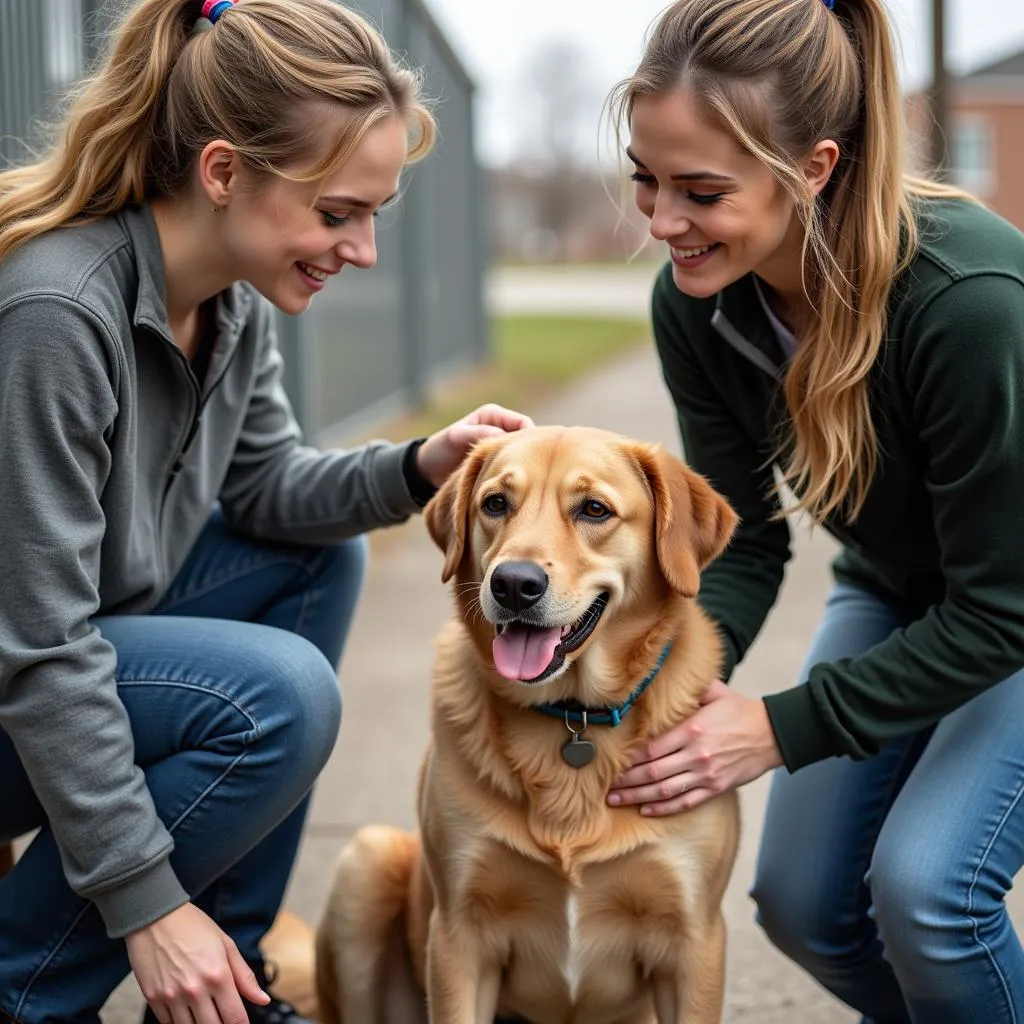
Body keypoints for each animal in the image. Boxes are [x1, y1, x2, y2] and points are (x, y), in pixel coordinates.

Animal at [315, 425, 741, 1024]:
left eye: (594, 509)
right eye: (496, 503)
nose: (514, 584)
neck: (573, 717)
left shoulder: (693, 942)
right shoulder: (459, 937)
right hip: (366, 863)